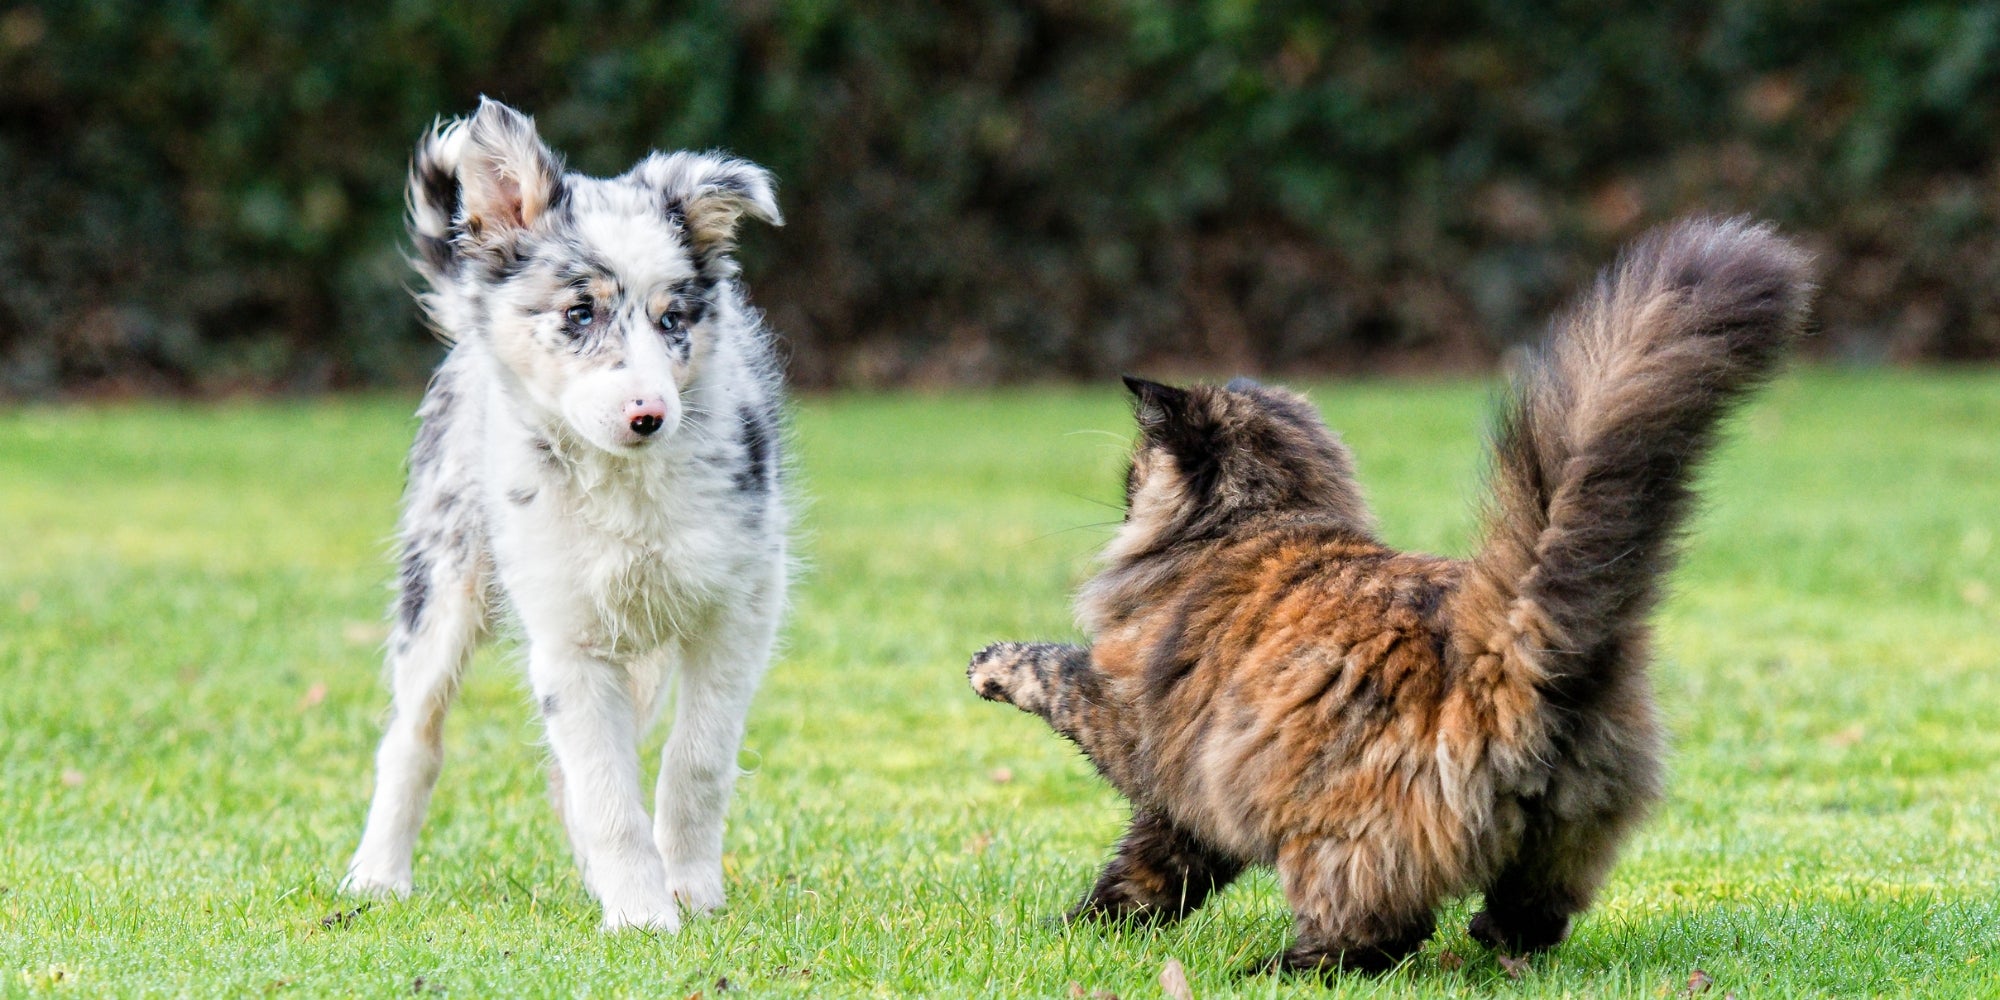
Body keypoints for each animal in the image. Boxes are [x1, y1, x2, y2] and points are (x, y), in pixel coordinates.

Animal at [340, 99, 784, 928]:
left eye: (673, 320)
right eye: (580, 312)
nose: (649, 415)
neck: (626, 487)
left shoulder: (739, 610)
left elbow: (697, 760)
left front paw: (689, 889)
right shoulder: (567, 638)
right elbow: (606, 790)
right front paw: (642, 915)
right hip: (440, 582)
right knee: (413, 738)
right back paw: (377, 875)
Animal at [968, 219, 1816, 976]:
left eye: (1132, 475)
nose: (1121, 501)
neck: (1259, 521)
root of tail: (1511, 641)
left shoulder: (1137, 723)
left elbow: (1055, 674)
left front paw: (991, 667)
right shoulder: (1189, 795)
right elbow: (1149, 873)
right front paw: (1086, 929)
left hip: (1335, 834)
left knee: (1375, 935)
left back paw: (1274, 968)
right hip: (1567, 829)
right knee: (1534, 916)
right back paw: (1491, 940)